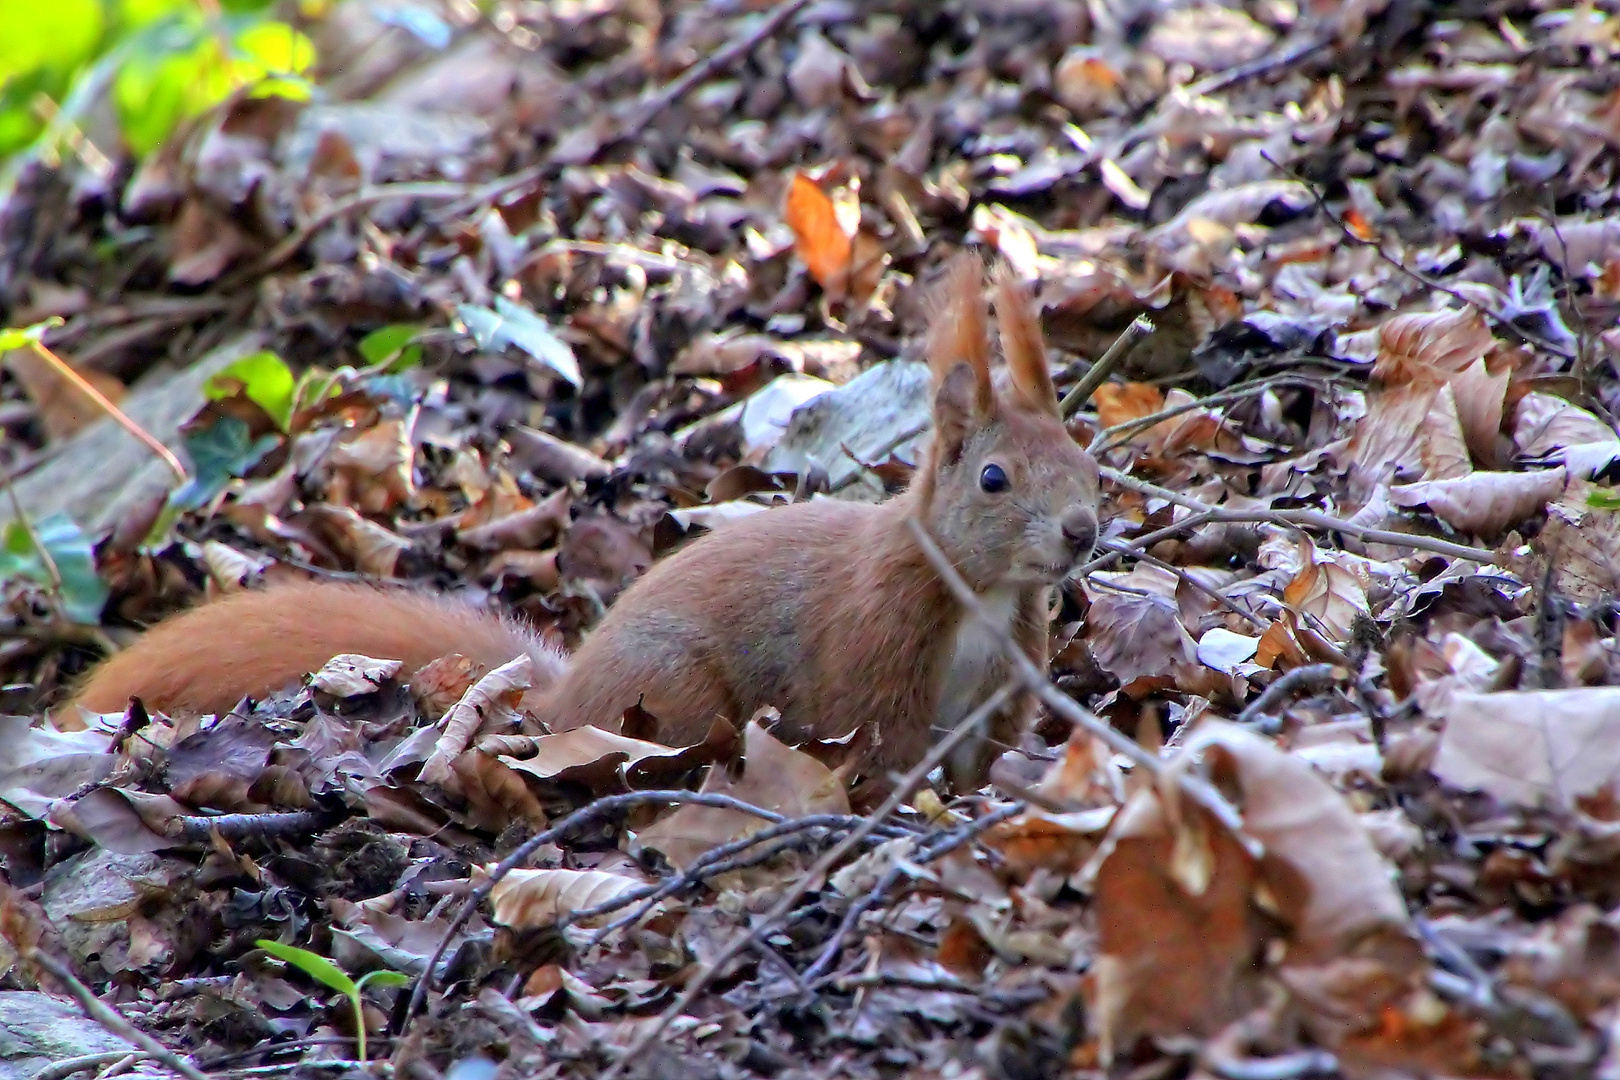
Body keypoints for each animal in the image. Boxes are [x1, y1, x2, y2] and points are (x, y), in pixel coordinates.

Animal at [66, 257, 1101, 790]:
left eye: (1089, 458)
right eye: (995, 479)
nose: (1084, 532)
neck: (976, 590)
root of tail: (568, 698)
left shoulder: (1005, 677)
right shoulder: (871, 647)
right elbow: (877, 741)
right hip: (676, 691)